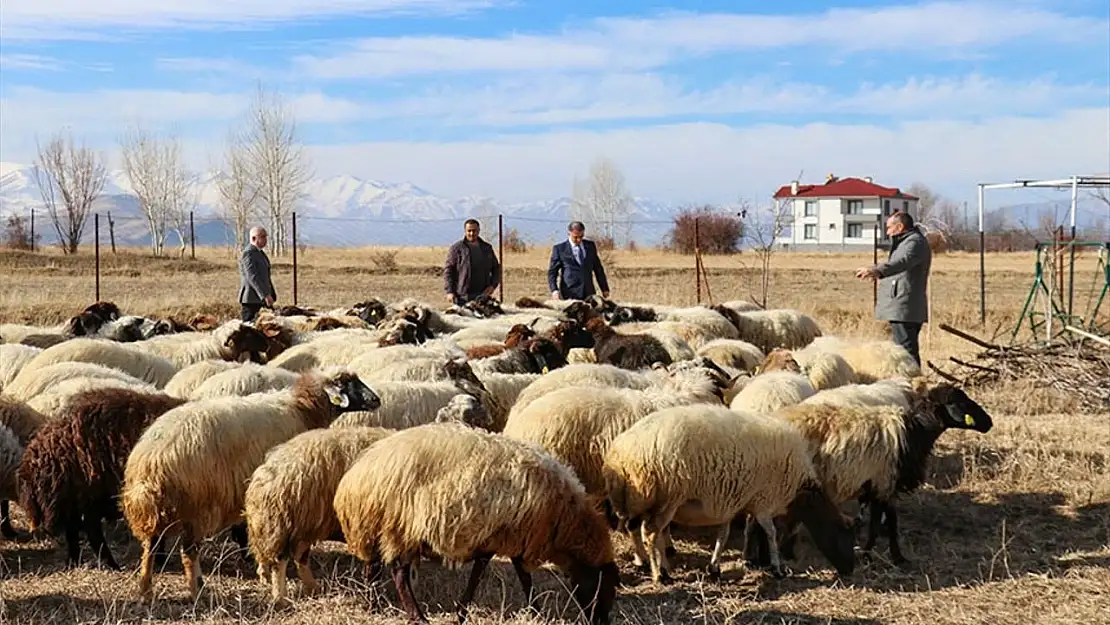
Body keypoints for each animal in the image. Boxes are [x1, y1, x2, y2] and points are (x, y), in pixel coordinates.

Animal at [15, 388, 185, 568]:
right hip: (87, 495)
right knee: (91, 532)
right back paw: (111, 564)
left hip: (75, 499)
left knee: (74, 531)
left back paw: (75, 562)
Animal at [119, 368, 381, 599]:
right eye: (347, 382)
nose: (376, 400)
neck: (302, 409)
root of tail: (150, 460)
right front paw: (264, 572)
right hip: (198, 506)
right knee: (188, 551)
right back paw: (197, 590)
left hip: (163, 510)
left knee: (150, 548)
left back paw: (145, 590)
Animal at [603, 404, 852, 586]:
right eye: (843, 533)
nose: (852, 568)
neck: (800, 489)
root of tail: (619, 455)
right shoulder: (764, 500)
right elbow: (770, 533)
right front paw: (777, 568)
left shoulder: (733, 501)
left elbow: (724, 535)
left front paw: (715, 567)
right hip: (668, 498)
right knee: (651, 533)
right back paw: (661, 575)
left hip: (647, 502)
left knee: (648, 531)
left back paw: (657, 565)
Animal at [754, 381, 999, 568]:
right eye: (958, 403)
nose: (988, 422)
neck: (914, 432)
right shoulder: (885, 482)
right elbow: (890, 522)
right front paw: (893, 557)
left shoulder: (875, 485)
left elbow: (878, 521)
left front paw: (870, 551)